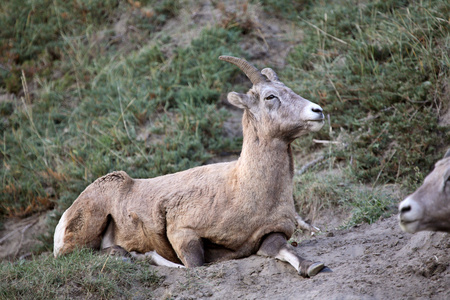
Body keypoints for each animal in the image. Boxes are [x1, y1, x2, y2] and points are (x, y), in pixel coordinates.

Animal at [54, 55, 328, 276]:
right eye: (270, 96)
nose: (317, 111)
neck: (242, 188)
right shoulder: (183, 233)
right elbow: (194, 266)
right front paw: (146, 255)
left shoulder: (270, 234)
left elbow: (286, 250)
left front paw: (312, 267)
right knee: (75, 255)